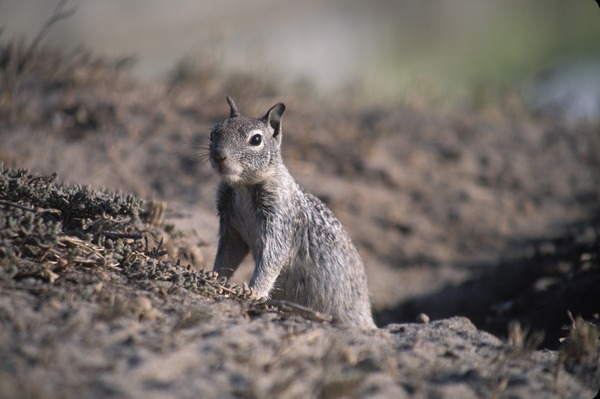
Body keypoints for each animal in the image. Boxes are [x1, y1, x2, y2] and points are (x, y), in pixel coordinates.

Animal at [209, 97, 372, 328]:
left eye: (256, 139)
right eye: (214, 132)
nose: (218, 156)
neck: (243, 187)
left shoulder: (279, 223)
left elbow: (271, 262)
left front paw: (252, 293)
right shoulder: (231, 231)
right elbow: (225, 258)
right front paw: (214, 279)